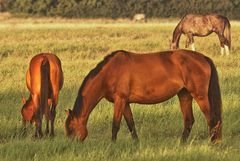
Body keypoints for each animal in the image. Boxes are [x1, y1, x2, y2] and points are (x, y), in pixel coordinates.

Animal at [65, 49, 221, 143]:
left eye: (70, 128)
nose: (70, 145)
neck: (110, 72)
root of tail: (203, 58)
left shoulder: (120, 100)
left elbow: (115, 125)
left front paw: (112, 144)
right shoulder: (125, 103)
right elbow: (131, 124)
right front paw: (136, 143)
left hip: (200, 96)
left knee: (212, 119)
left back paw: (212, 143)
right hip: (184, 95)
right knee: (189, 121)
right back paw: (181, 144)